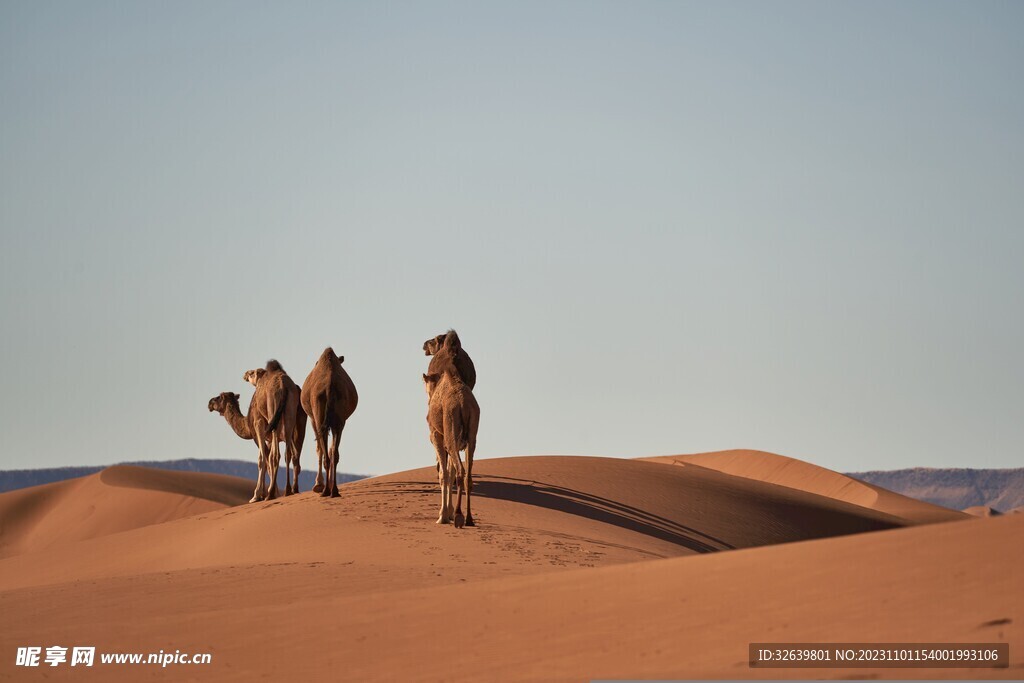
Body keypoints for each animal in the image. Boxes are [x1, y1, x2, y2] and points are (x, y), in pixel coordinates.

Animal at [299, 350, 358, 499]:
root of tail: (330, 387)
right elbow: (330, 450)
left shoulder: (313, 419)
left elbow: (319, 449)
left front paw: (318, 485)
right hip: (339, 421)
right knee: (334, 453)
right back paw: (334, 490)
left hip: (319, 415)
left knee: (325, 451)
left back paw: (325, 490)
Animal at [419, 333, 479, 528]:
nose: (424, 345)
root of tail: (463, 404)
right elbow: (449, 472)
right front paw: (448, 513)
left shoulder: (436, 435)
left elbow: (443, 474)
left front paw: (443, 515)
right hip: (471, 435)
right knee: (467, 474)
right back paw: (469, 518)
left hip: (451, 433)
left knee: (459, 472)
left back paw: (459, 516)